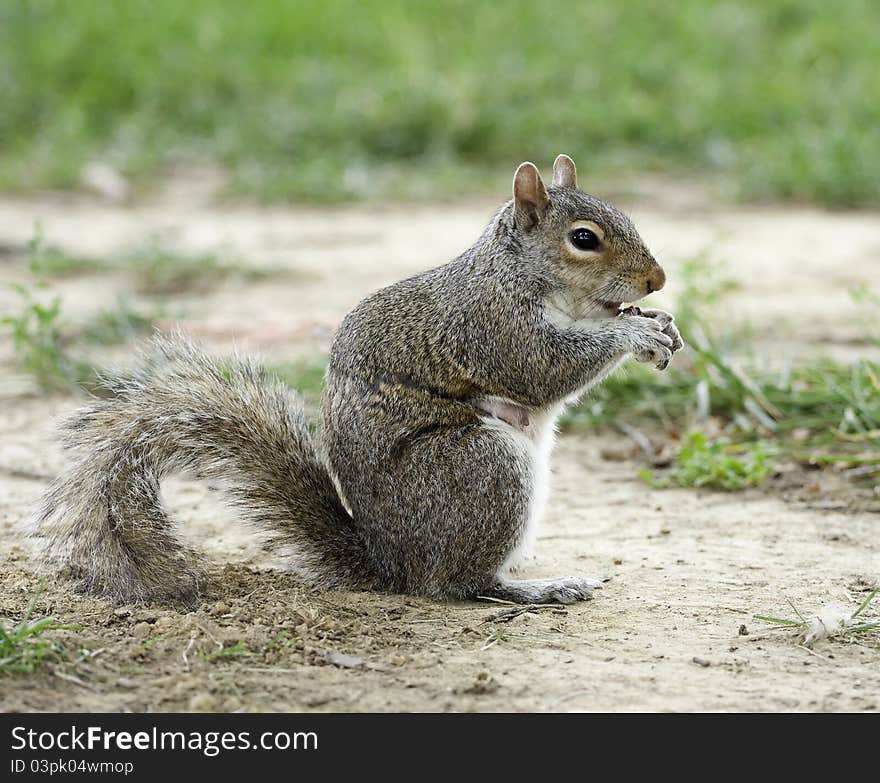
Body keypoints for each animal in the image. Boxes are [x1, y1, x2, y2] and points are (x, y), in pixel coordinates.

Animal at [32, 155, 680, 608]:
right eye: (583, 239)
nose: (657, 280)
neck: (516, 274)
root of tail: (389, 563)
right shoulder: (491, 328)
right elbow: (544, 368)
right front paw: (635, 335)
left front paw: (660, 325)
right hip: (481, 469)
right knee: (456, 584)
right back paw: (535, 589)